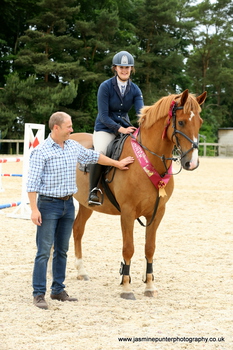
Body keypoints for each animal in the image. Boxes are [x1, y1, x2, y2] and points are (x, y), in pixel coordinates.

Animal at [70, 89, 207, 300]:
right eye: (182, 122)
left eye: (199, 122)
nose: (192, 163)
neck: (149, 159)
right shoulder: (128, 212)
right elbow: (129, 248)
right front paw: (126, 287)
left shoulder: (157, 212)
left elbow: (149, 248)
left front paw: (149, 285)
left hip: (86, 205)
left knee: (77, 229)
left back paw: (81, 271)